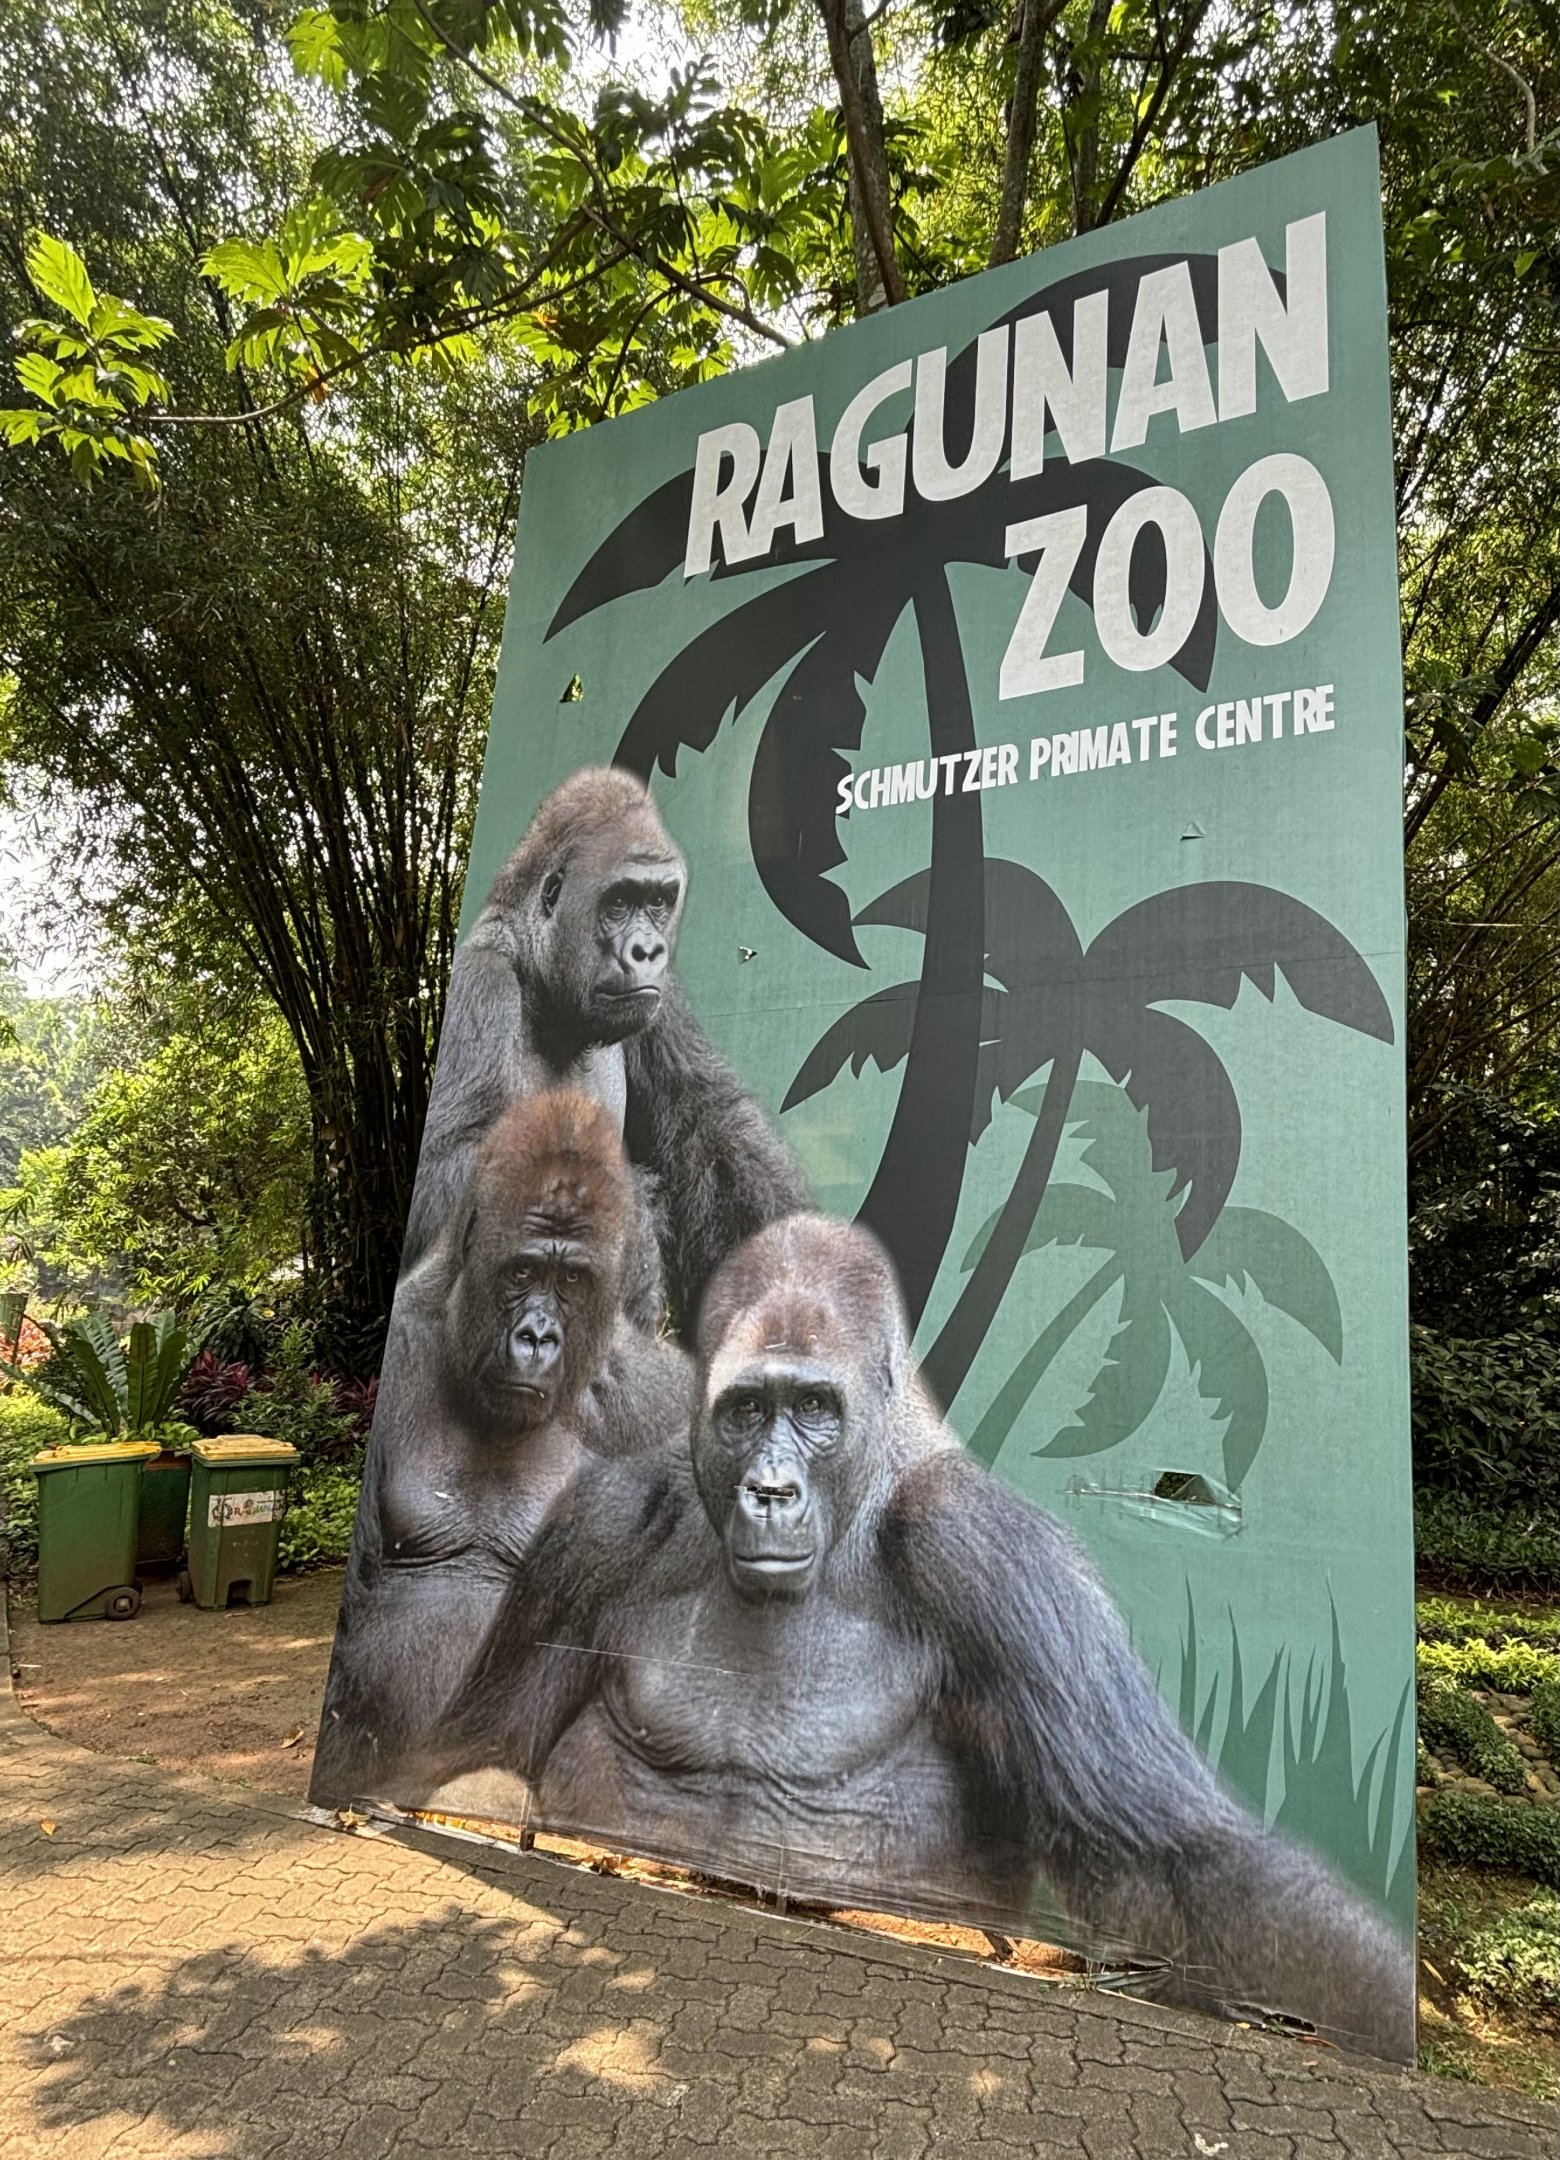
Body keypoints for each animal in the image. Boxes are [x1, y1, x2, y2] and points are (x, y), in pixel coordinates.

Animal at [400, 766, 810, 1331]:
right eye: (618, 902)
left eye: (658, 901)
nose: (647, 951)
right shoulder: (479, 987)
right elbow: (441, 1179)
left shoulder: (661, 996)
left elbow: (710, 1129)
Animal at [410, 1214, 1416, 2062]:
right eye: (746, 1409)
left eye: (815, 1408)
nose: (769, 1491)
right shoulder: (598, 1527)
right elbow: (479, 1745)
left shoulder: (993, 1555)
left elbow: (1170, 1860)